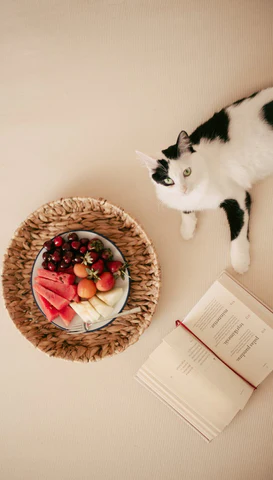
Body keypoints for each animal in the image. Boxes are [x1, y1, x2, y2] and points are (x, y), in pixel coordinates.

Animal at [136, 86, 272, 274]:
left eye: (187, 171)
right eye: (168, 181)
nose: (184, 189)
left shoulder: (237, 196)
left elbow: (238, 233)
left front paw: (240, 262)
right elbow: (185, 210)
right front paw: (187, 230)